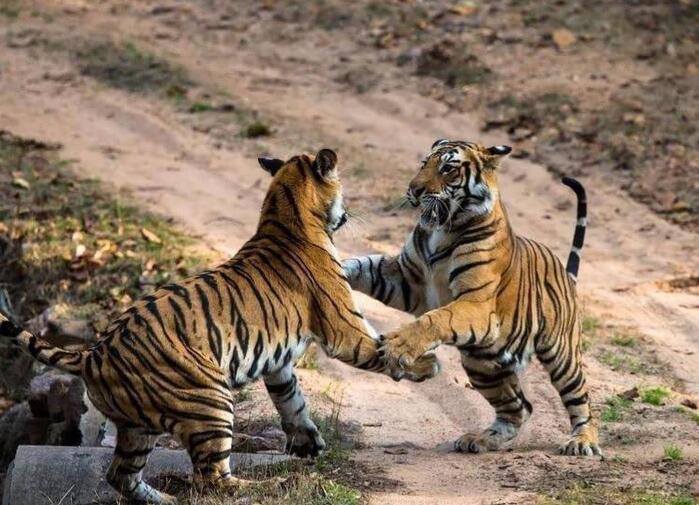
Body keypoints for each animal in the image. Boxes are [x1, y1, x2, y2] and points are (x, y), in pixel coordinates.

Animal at [0, 149, 438, 504]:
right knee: (212, 480)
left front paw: (308, 443)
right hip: (209, 402)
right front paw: (426, 365)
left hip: (137, 426)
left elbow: (292, 399)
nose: (349, 212)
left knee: (120, 475)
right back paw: (269, 486)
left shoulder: (279, 364)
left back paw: (165, 499)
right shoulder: (344, 330)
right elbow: (380, 348)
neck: (285, 213)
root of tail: (93, 353)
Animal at [344, 139, 600, 456]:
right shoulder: (404, 279)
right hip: (483, 366)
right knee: (519, 408)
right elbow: (362, 264)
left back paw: (583, 441)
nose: (414, 189)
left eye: (448, 169)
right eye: (424, 164)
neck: (442, 229)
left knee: (580, 400)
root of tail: (566, 274)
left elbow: (435, 318)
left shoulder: (475, 304)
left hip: (561, 354)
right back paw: (480, 439)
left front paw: (398, 345)